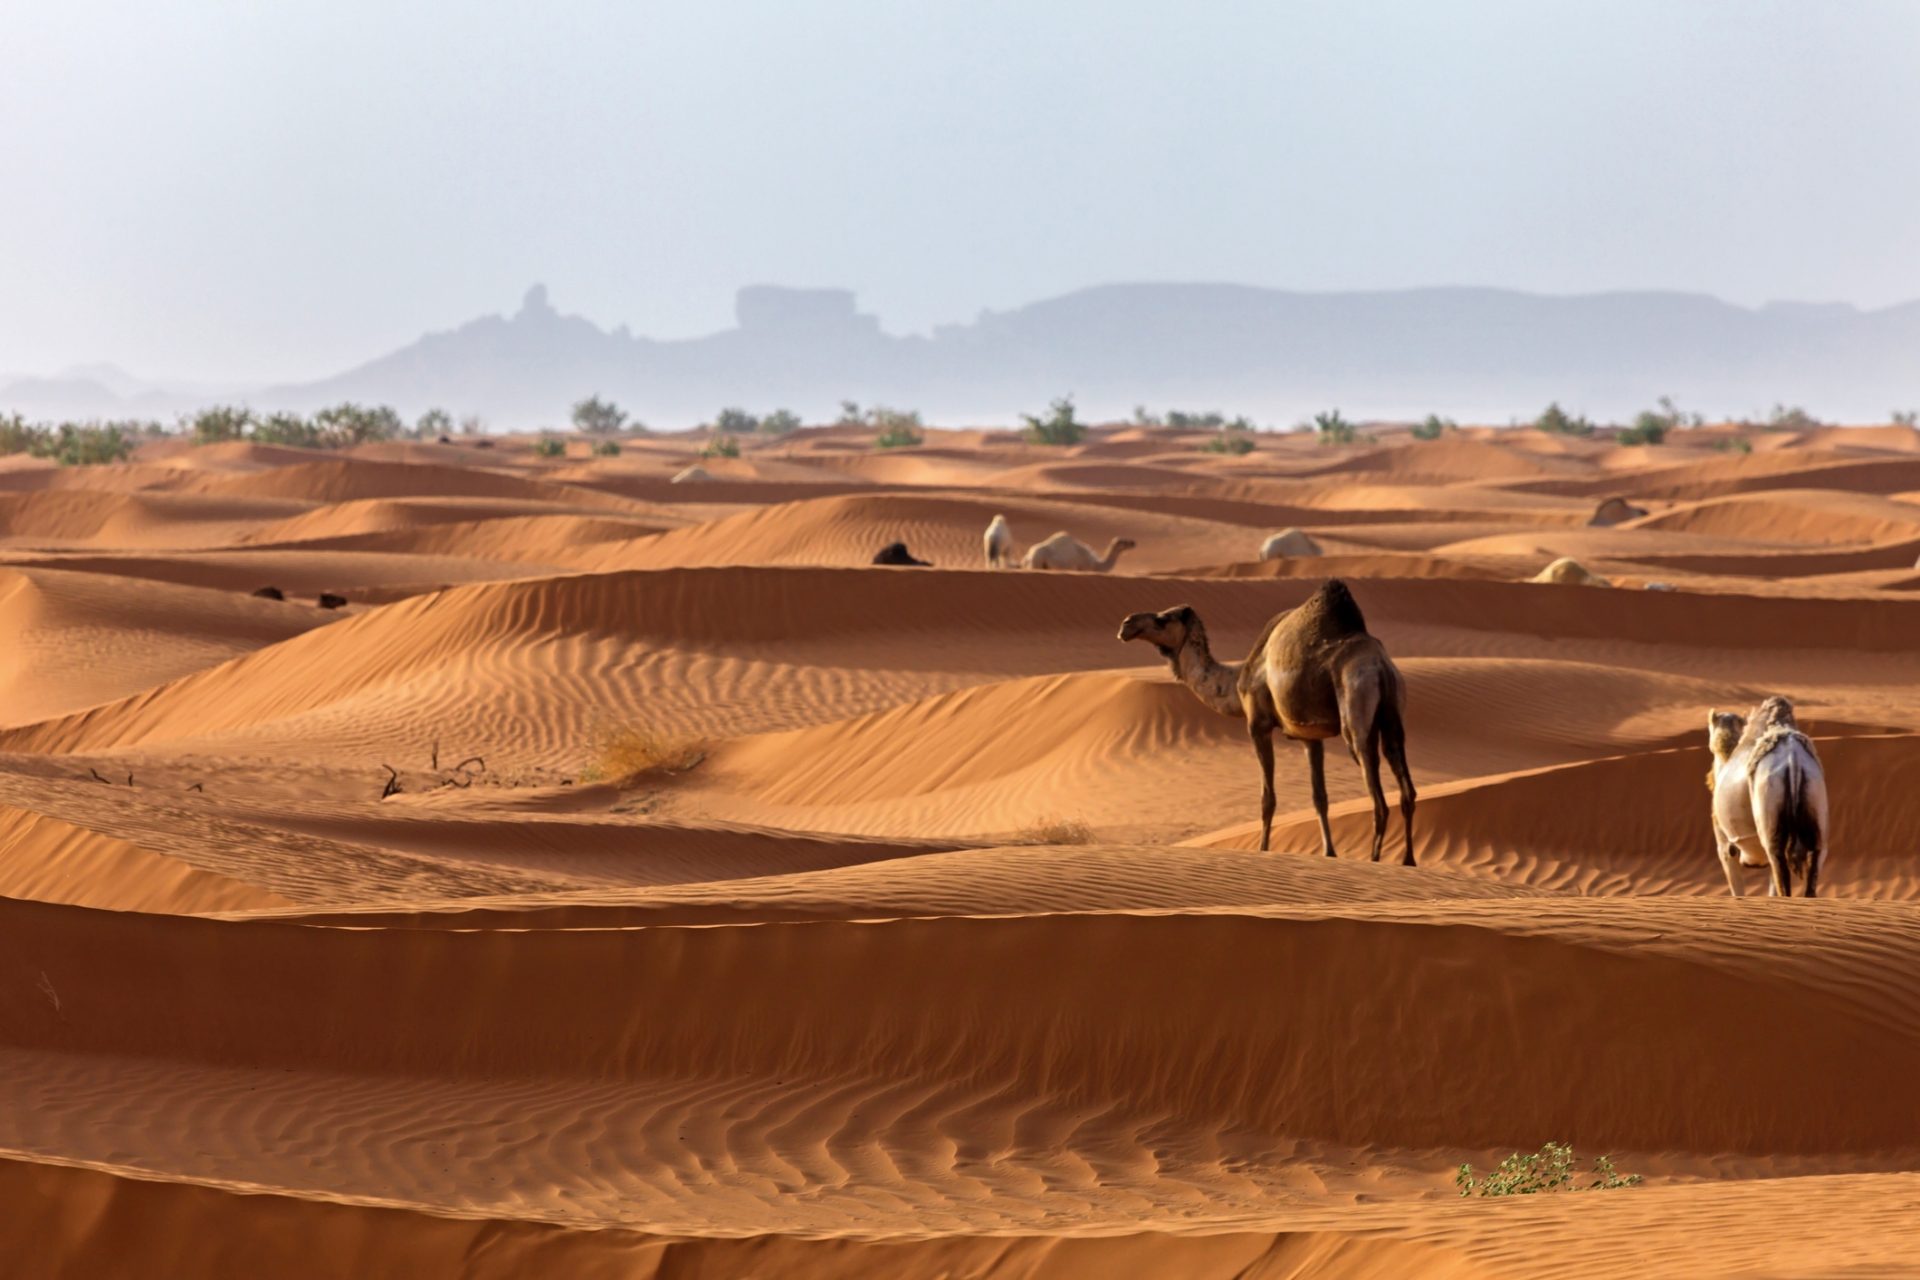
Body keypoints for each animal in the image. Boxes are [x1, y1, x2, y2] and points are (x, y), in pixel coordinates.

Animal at [1121, 579, 1420, 859]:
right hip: (1393, 710)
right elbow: (1319, 797)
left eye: (1162, 619)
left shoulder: (1258, 724)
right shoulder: (1309, 736)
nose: (1126, 624)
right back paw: (1408, 861)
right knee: (1406, 788)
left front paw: (1263, 850)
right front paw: (1329, 853)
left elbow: (1267, 798)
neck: (1236, 680)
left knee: (1378, 799)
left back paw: (1374, 859)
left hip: (1356, 704)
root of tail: (1380, 666)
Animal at [1712, 694, 1827, 898]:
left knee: (1780, 870)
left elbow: (1737, 890)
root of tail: (1793, 756)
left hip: (1771, 828)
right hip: (1816, 813)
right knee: (1813, 865)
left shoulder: (1725, 844)